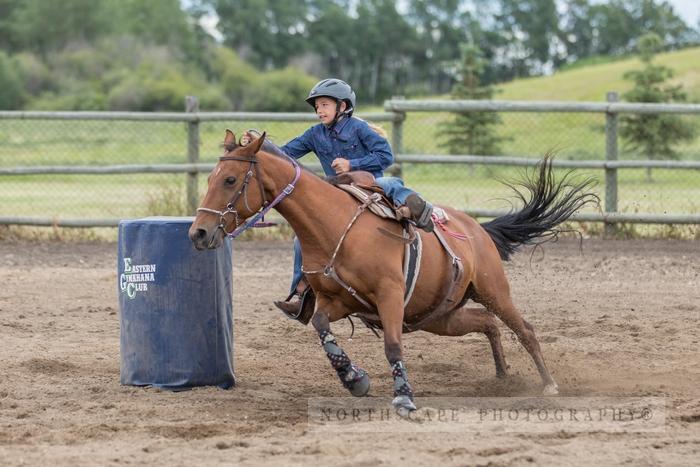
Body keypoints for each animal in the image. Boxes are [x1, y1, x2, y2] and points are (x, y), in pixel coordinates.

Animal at [190, 131, 596, 414]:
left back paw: (548, 385)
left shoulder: (390, 297)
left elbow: (392, 346)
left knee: (523, 329)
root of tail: (478, 229)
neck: (332, 225)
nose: (198, 233)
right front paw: (354, 379)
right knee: (487, 323)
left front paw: (403, 398)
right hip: (439, 316)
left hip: (493, 290)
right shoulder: (337, 302)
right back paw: (501, 377)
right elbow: (321, 328)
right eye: (210, 178)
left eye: (230, 180)